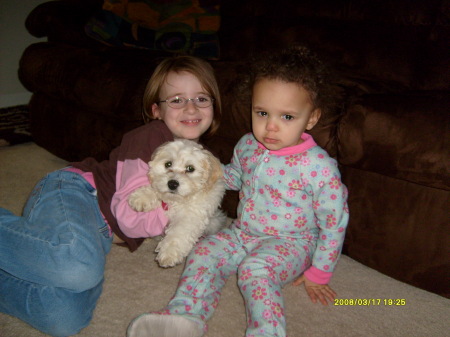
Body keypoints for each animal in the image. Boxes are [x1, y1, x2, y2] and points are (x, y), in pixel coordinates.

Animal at [128, 138, 227, 266]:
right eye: (168, 164)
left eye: (190, 168)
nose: (172, 184)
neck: (179, 200)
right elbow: (157, 190)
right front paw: (141, 197)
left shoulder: (192, 215)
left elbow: (179, 230)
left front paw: (169, 253)